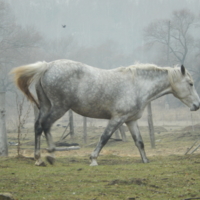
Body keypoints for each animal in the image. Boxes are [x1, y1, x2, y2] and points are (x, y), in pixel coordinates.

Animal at [11, 59, 200, 166]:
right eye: (190, 83)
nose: (197, 105)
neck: (137, 86)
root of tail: (47, 66)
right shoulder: (117, 119)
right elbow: (104, 138)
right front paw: (93, 159)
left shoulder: (131, 120)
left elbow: (139, 142)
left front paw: (145, 160)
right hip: (59, 108)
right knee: (46, 125)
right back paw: (50, 154)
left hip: (46, 106)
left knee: (38, 126)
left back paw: (38, 159)